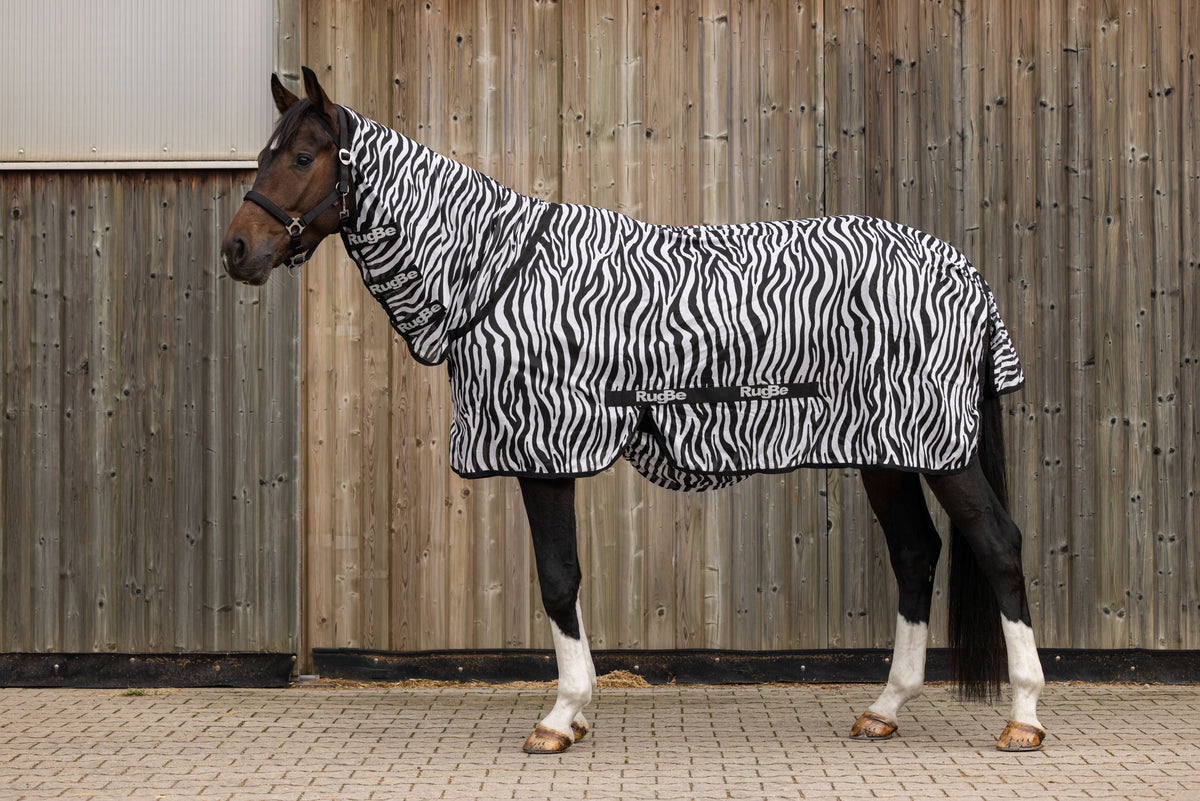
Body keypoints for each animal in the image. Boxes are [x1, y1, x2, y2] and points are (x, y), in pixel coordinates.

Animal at [222, 67, 1046, 754]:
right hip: (887, 450)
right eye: (264, 154)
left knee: (999, 545)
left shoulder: (544, 450)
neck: (495, 274)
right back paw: (884, 707)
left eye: (303, 158)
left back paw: (1024, 717)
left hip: (941, 447)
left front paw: (562, 715)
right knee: (915, 554)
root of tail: (963, 271)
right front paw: (576, 709)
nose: (236, 250)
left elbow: (559, 577)